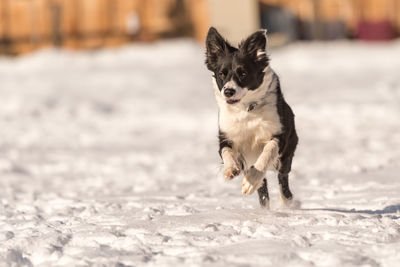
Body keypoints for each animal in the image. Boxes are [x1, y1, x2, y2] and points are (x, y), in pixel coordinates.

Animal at [206, 27, 296, 209]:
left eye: (243, 73)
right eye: (221, 74)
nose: (228, 91)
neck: (246, 110)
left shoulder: (279, 135)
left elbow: (268, 151)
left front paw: (251, 180)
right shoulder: (226, 136)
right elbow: (226, 152)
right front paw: (231, 169)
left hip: (287, 155)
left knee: (282, 179)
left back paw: (286, 201)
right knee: (264, 189)